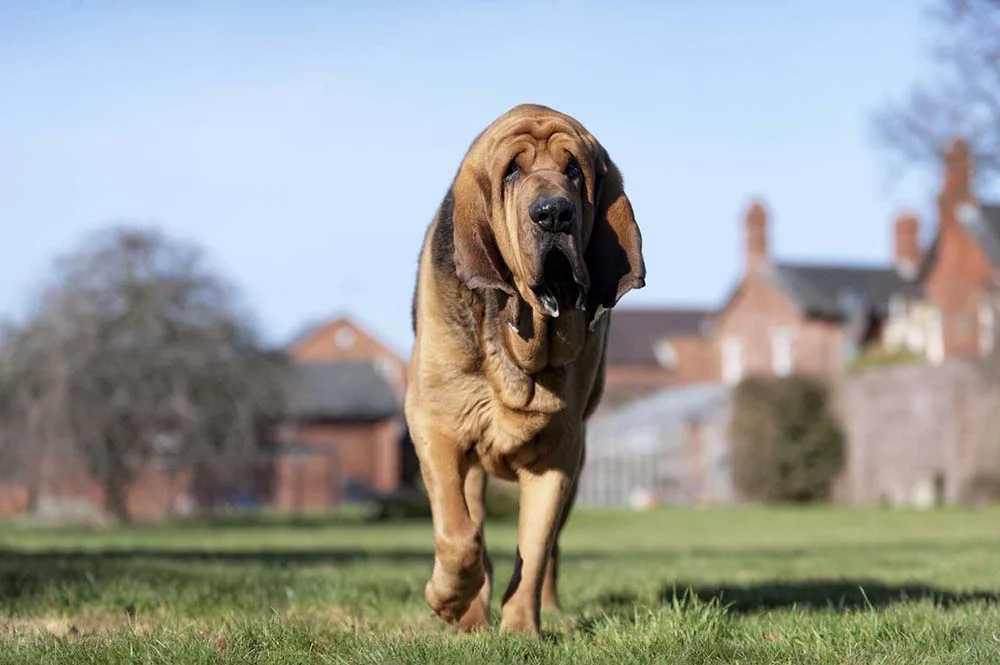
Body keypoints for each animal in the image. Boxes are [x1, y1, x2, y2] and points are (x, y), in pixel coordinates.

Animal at [408, 102, 648, 632]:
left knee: (551, 547)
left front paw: (521, 631)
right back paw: (469, 614)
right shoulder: (436, 426)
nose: (553, 213)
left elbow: (534, 550)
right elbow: (459, 536)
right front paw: (446, 599)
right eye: (512, 171)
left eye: (574, 171)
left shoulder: (559, 455)